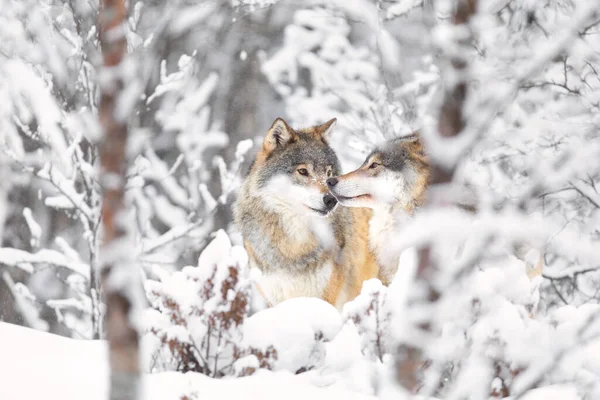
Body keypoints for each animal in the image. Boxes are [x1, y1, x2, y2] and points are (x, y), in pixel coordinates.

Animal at [233, 117, 378, 310]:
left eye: (328, 173)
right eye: (302, 171)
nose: (331, 200)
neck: (292, 247)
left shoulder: (324, 299)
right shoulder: (276, 301)